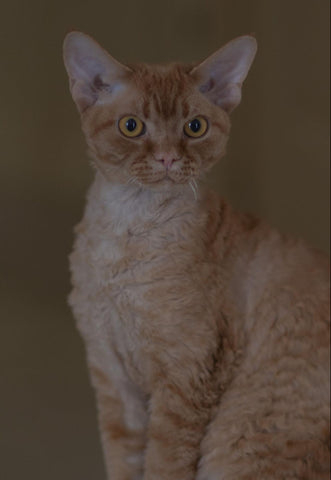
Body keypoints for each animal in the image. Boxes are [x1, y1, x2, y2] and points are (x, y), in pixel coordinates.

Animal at [63, 31, 330, 478]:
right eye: (131, 127)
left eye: (195, 127)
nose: (168, 157)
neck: (128, 229)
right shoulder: (113, 379)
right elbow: (123, 463)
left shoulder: (186, 375)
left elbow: (163, 465)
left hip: (236, 445)